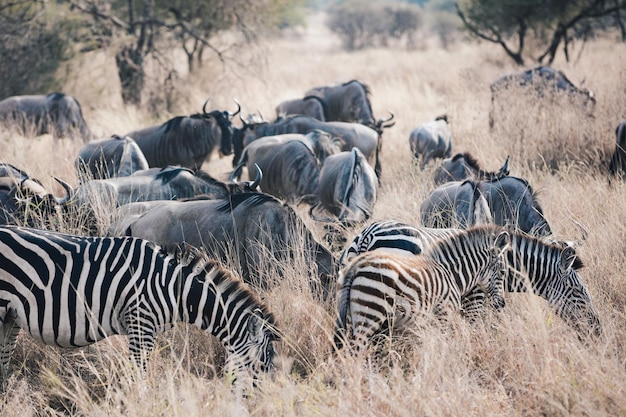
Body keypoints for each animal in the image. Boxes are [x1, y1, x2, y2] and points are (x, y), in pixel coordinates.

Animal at [0, 226, 278, 382]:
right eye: (262, 364)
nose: (258, 404)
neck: (173, 288)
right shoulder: (141, 324)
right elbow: (138, 376)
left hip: (9, 319)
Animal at [332, 224, 508, 354]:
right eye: (503, 272)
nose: (502, 304)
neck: (450, 271)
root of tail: (367, 234)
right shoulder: (444, 312)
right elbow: (441, 343)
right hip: (372, 311)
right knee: (356, 349)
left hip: (352, 310)